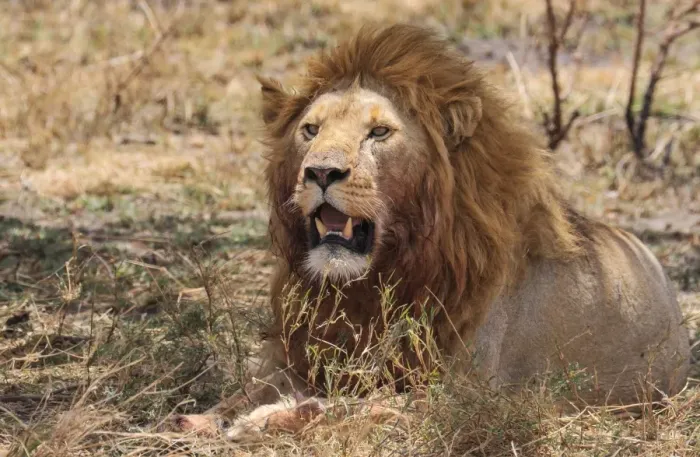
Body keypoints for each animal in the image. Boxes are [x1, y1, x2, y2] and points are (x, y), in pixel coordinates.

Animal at [174, 24, 690, 438]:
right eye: (310, 130)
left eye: (379, 133)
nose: (320, 172)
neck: (370, 283)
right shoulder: (302, 350)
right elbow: (247, 389)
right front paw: (201, 416)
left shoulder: (465, 394)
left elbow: (359, 406)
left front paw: (268, 419)